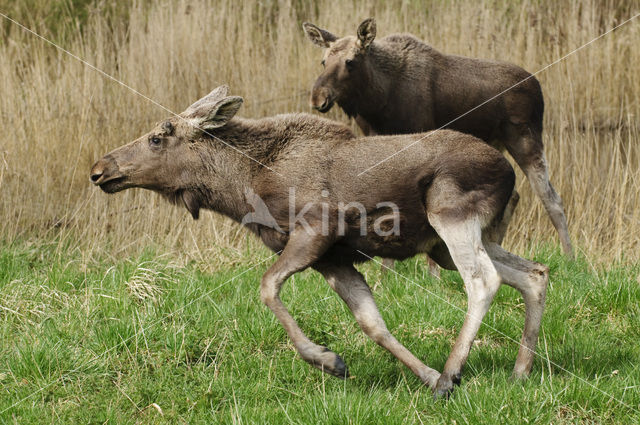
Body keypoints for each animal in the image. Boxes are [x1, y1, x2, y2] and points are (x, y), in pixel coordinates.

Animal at [91, 86, 552, 398]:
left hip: (451, 216)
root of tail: (511, 178)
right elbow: (373, 324)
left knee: (484, 281)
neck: (241, 189)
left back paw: (453, 372)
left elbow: (267, 287)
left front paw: (328, 360)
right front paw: (421, 374)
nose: (99, 169)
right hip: (445, 243)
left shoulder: (315, 230)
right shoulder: (333, 259)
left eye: (157, 137)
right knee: (534, 273)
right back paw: (518, 372)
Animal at [304, 17, 576, 258]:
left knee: (551, 198)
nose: (318, 97)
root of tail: (538, 87)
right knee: (516, 196)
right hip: (496, 144)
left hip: (525, 139)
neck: (377, 100)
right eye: (323, 61)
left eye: (350, 61)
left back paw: (570, 257)